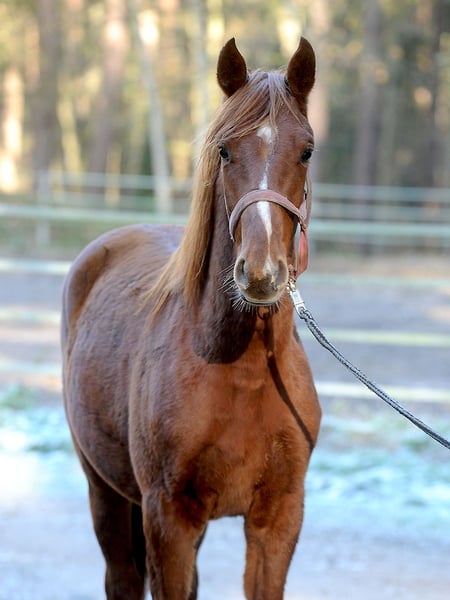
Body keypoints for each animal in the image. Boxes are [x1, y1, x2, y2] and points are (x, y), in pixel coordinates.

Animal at [62, 36, 321, 600]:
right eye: (224, 150)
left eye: (307, 150)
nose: (261, 272)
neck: (243, 370)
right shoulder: (169, 518)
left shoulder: (279, 519)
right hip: (104, 491)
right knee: (121, 578)